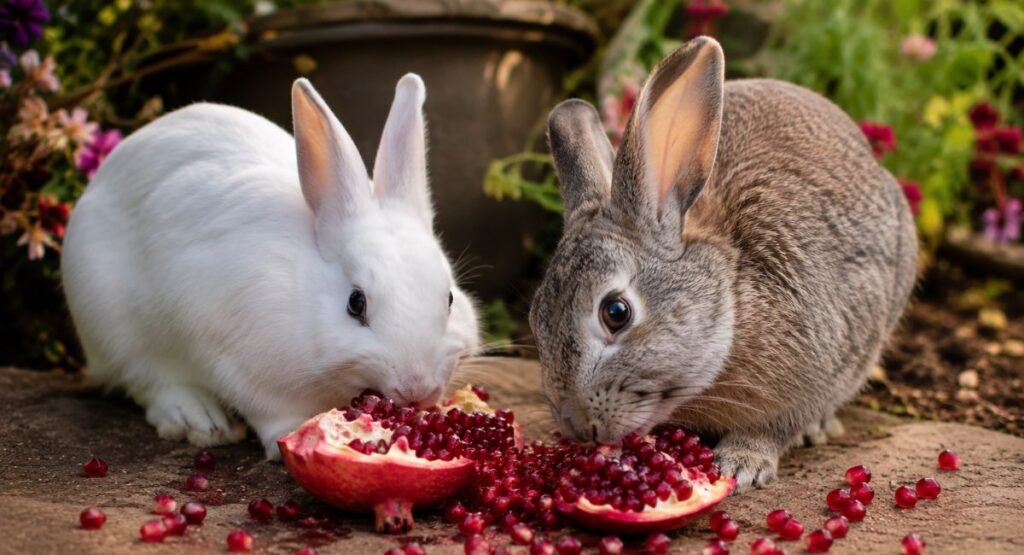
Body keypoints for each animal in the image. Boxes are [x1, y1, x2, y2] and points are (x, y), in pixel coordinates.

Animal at [61, 74, 480, 459]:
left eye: (449, 300)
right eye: (355, 303)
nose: (418, 388)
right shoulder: (227, 348)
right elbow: (269, 410)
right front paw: (292, 435)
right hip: (110, 322)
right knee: (147, 379)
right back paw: (199, 420)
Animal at [529, 36, 918, 489]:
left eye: (616, 312)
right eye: (537, 319)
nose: (577, 425)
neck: (732, 299)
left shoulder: (816, 371)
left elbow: (773, 428)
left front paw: (742, 464)